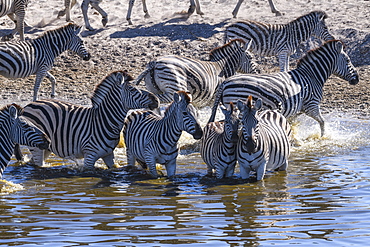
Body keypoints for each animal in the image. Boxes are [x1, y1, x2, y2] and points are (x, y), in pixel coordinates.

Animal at [15, 71, 159, 170]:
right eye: (133, 89)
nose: (156, 99)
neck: (105, 120)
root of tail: (28, 105)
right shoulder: (89, 156)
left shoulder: (108, 155)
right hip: (37, 147)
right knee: (37, 164)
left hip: (45, 147)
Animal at [212, 40, 360, 137]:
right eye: (348, 60)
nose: (357, 79)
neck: (312, 76)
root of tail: (226, 82)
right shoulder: (311, 105)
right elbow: (322, 122)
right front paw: (323, 138)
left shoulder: (295, 111)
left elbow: (291, 126)